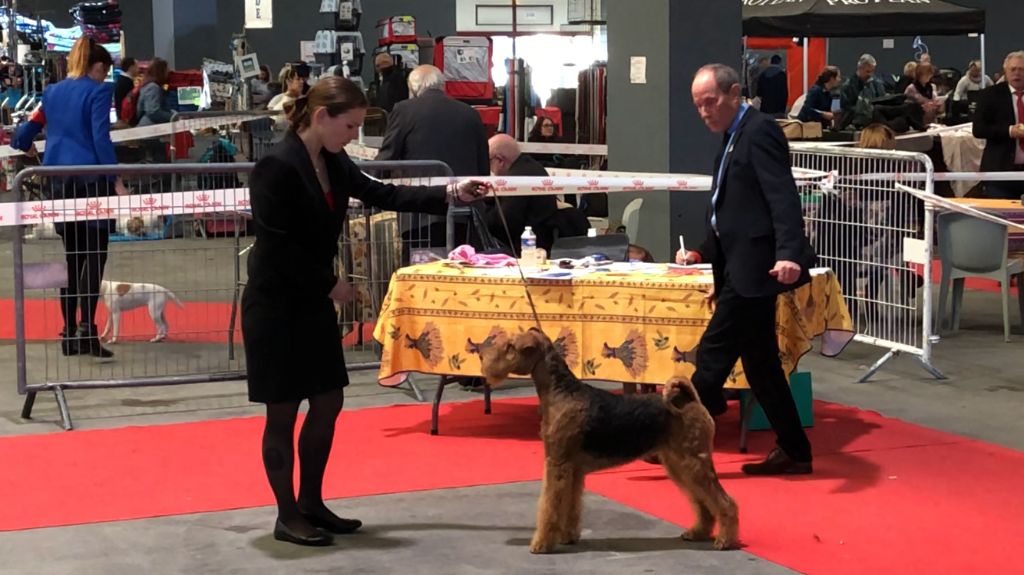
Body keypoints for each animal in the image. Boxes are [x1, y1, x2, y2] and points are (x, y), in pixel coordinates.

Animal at [480, 328, 739, 554]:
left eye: (510, 346)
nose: (483, 357)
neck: (561, 392)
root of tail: (691, 400)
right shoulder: (573, 468)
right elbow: (570, 505)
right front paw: (568, 536)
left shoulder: (557, 464)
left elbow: (549, 506)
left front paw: (541, 544)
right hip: (678, 464)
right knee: (703, 502)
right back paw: (698, 532)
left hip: (692, 461)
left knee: (724, 501)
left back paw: (725, 540)